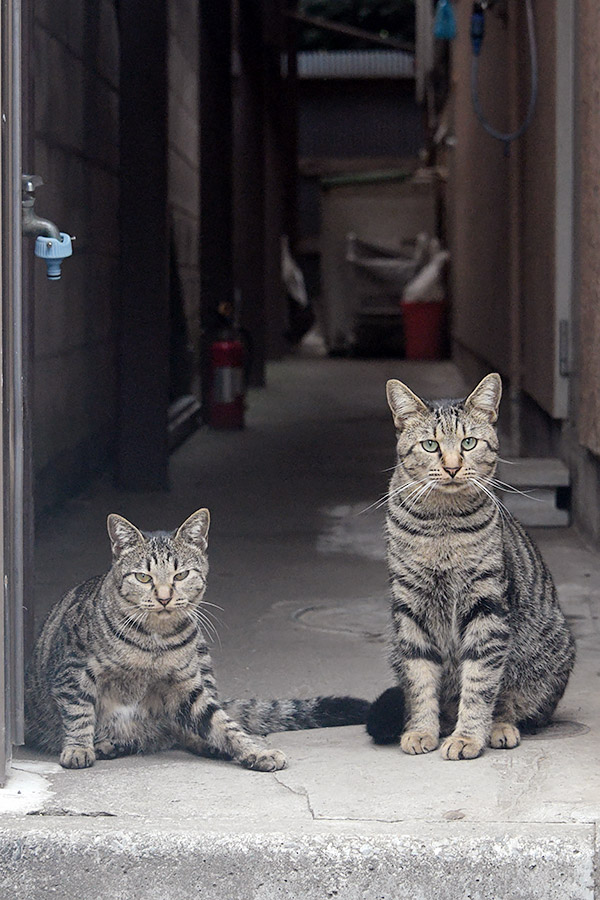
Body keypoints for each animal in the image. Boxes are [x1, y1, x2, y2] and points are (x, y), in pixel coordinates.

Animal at [25, 510, 368, 768]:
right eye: (143, 577)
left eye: (181, 575)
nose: (164, 597)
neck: (152, 641)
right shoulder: (72, 669)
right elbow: (79, 712)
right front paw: (78, 748)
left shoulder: (188, 686)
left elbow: (223, 723)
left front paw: (253, 750)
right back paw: (108, 744)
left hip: (202, 662)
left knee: (190, 727)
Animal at [366, 372, 576, 760]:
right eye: (430, 445)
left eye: (468, 442)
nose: (452, 467)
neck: (442, 526)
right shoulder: (410, 609)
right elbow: (419, 680)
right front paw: (421, 730)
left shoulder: (487, 606)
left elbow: (479, 683)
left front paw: (467, 737)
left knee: (512, 702)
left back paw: (499, 727)